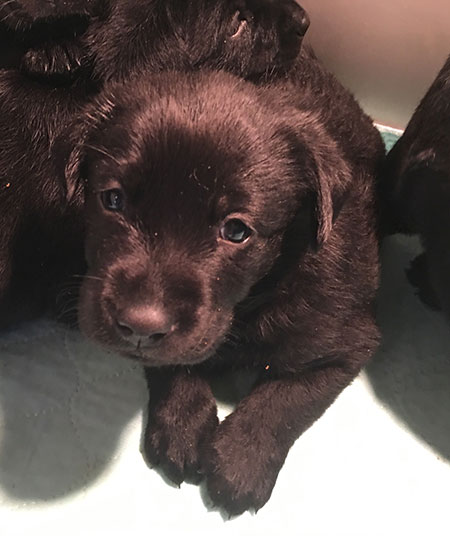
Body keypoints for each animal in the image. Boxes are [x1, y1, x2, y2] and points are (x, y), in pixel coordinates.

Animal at [64, 51, 384, 516]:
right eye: (113, 200)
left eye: (236, 231)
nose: (139, 325)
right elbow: (173, 359)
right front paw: (183, 423)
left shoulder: (348, 340)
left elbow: (287, 397)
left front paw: (241, 459)